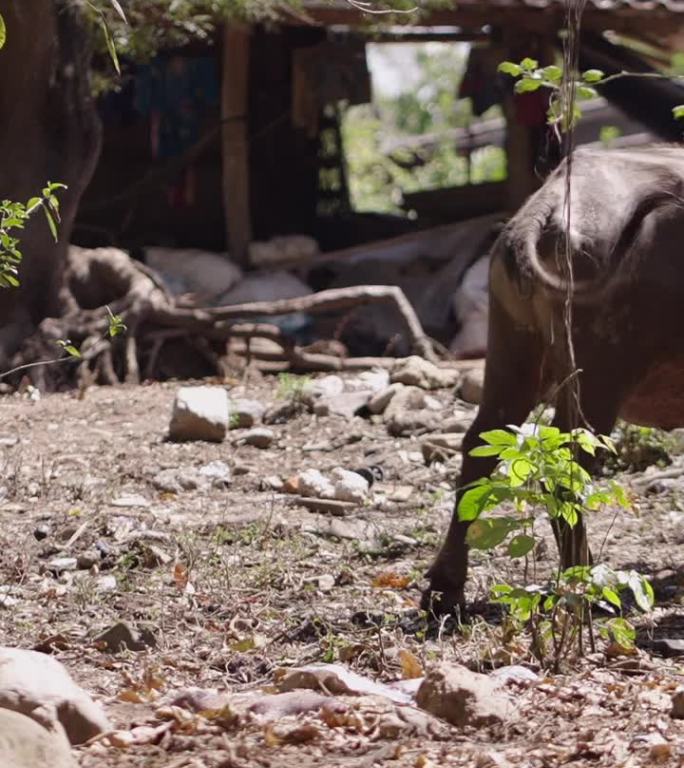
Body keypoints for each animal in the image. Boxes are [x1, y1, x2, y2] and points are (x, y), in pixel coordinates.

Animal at [424, 147, 684, 616]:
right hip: (599, 373)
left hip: (512, 350)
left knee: (478, 444)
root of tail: (540, 212)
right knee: (566, 469)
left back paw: (445, 589)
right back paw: (588, 583)